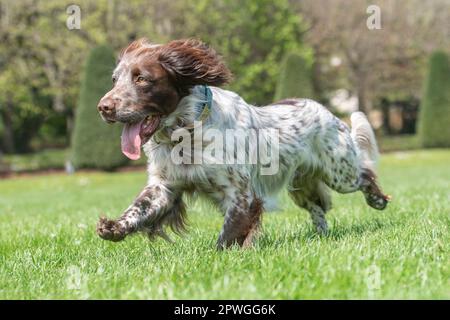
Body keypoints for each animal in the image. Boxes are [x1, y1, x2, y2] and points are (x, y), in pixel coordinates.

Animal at [96, 37, 390, 248]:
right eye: (115, 79)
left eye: (141, 78)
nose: (103, 107)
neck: (187, 135)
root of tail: (327, 112)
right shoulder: (165, 186)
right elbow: (139, 208)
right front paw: (114, 227)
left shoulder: (241, 195)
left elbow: (228, 235)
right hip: (301, 187)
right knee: (318, 209)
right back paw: (321, 235)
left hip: (340, 173)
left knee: (365, 174)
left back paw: (378, 200)